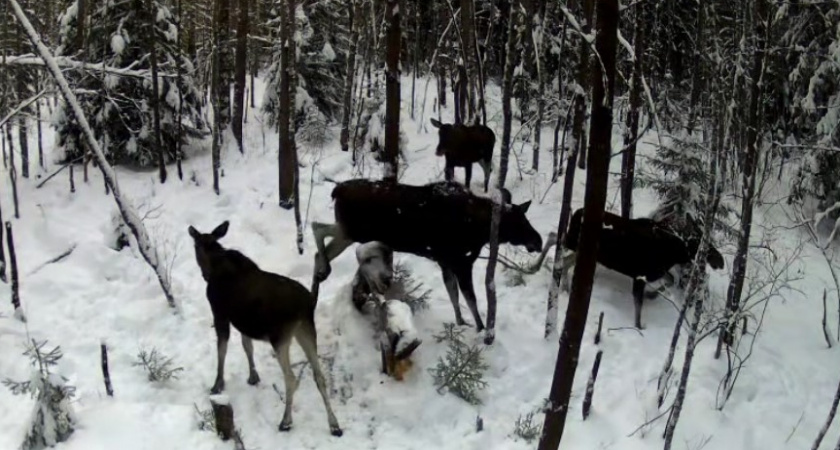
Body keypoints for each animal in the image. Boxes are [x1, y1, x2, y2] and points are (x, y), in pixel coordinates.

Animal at [189, 223, 342, 438]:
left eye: (195, 246)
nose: (204, 274)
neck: (214, 262)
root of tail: (308, 303)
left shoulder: (220, 314)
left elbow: (222, 350)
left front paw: (217, 385)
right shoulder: (244, 322)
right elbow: (247, 346)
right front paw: (253, 377)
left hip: (280, 338)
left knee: (291, 378)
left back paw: (285, 421)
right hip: (306, 331)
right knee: (319, 376)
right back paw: (334, 424)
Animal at [312, 178, 540, 344]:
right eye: (520, 221)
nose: (537, 240)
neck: (481, 229)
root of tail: (336, 190)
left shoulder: (446, 262)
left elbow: (454, 295)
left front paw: (461, 323)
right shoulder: (461, 262)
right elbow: (470, 299)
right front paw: (481, 330)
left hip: (347, 230)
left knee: (318, 235)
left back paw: (320, 276)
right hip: (352, 231)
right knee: (320, 232)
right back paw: (325, 272)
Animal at [556, 207, 720, 326]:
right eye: (698, 240)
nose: (719, 260)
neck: (672, 253)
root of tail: (576, 213)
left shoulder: (655, 272)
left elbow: (670, 280)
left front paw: (651, 295)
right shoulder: (640, 275)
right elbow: (638, 305)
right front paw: (639, 326)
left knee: (565, 261)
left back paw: (565, 287)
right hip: (576, 245)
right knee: (561, 253)